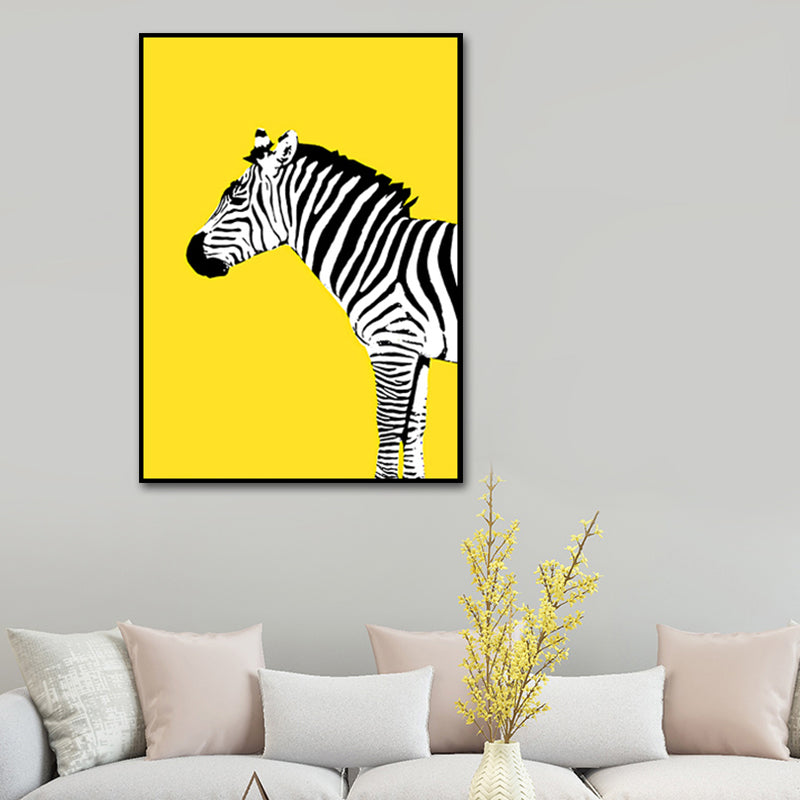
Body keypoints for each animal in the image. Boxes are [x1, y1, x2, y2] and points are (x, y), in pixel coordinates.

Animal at [186, 129, 459, 480]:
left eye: (236, 199)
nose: (190, 254)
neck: (376, 256)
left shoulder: (391, 346)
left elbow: (388, 426)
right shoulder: (418, 351)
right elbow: (414, 426)